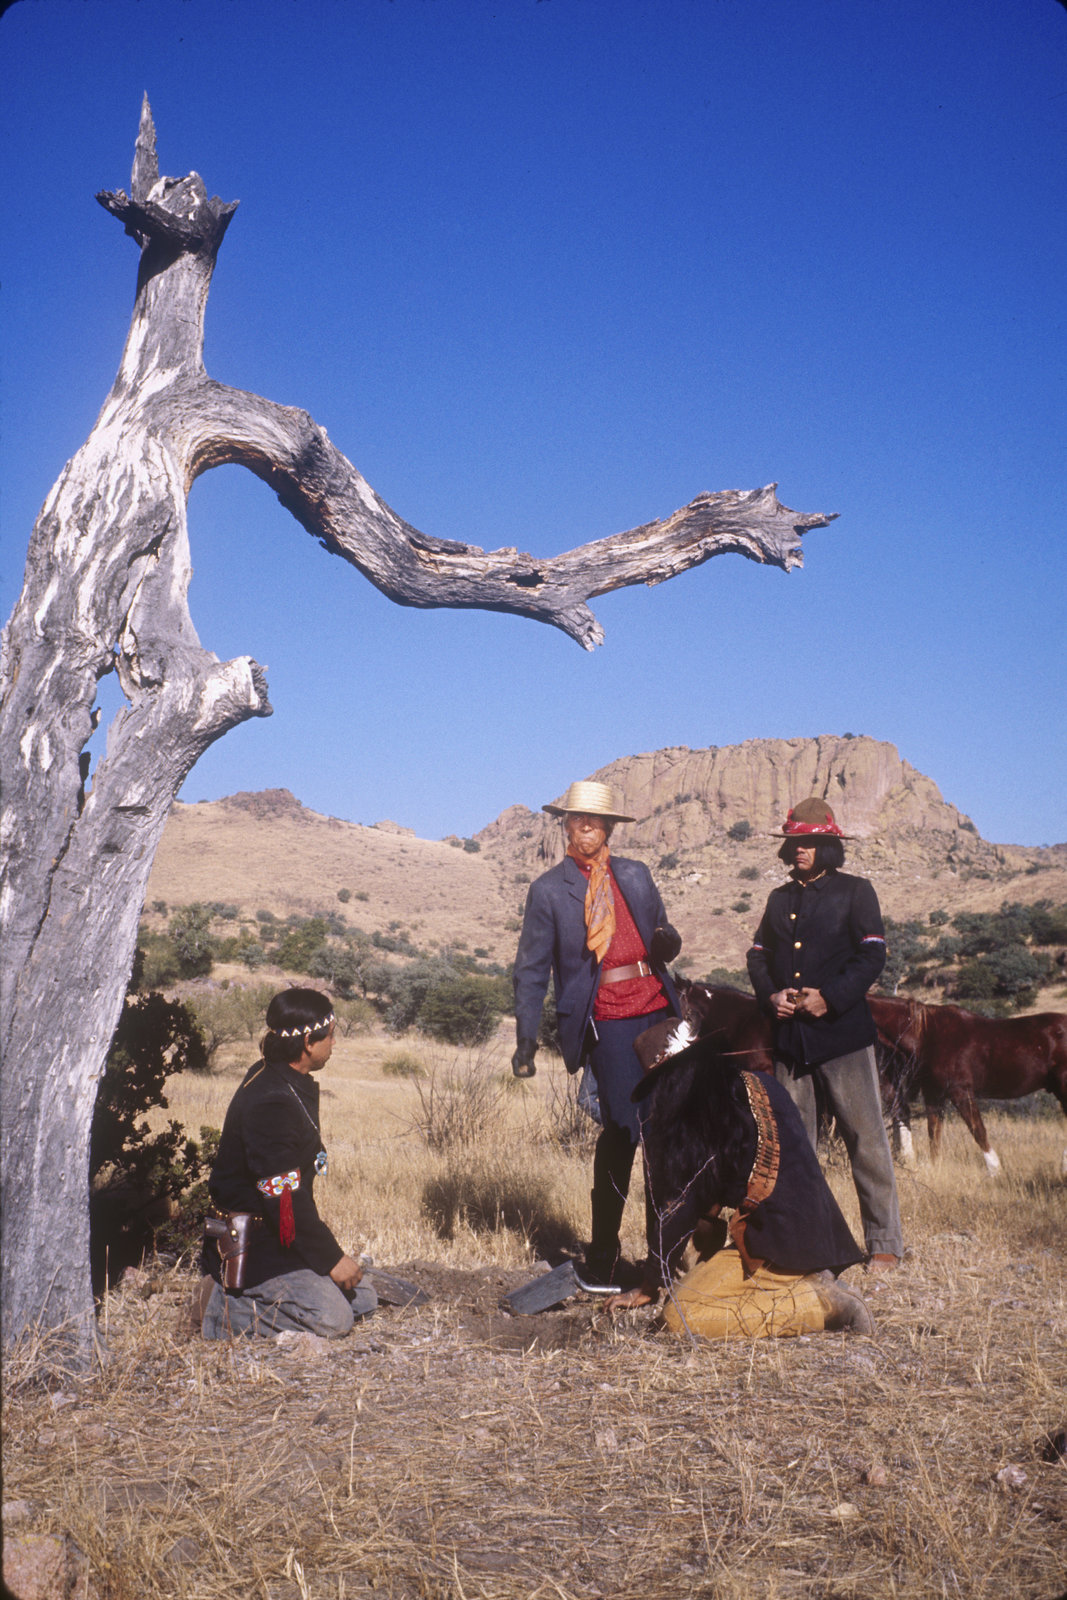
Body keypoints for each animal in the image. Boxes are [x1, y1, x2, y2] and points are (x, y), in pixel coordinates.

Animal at [870, 992, 1067, 1171]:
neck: (927, 1035)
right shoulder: (933, 1093)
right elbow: (934, 1132)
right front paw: (935, 1167)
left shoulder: (960, 1091)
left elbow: (977, 1129)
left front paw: (995, 1170)